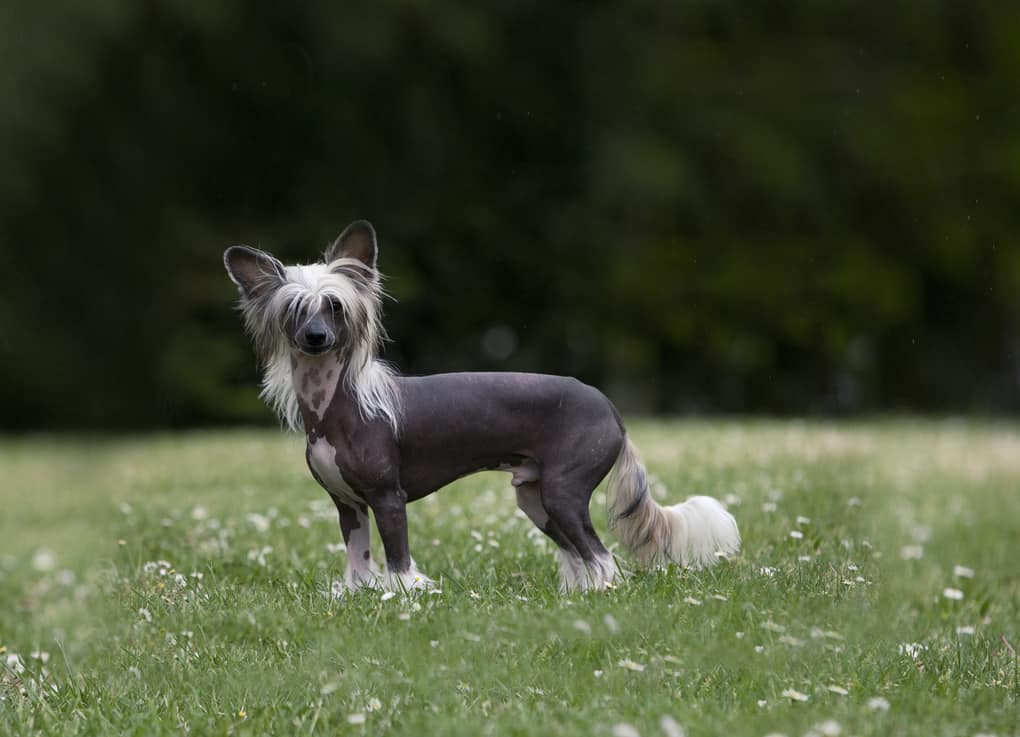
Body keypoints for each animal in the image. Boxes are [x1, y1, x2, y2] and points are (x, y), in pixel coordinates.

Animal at [223, 220, 742, 595]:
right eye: (294, 311)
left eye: (334, 306)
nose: (316, 338)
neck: (334, 407)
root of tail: (611, 408)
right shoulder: (347, 505)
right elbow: (358, 558)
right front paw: (358, 594)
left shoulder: (388, 499)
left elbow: (398, 559)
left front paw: (403, 595)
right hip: (536, 498)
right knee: (579, 554)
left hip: (563, 491)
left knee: (600, 556)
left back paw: (601, 594)